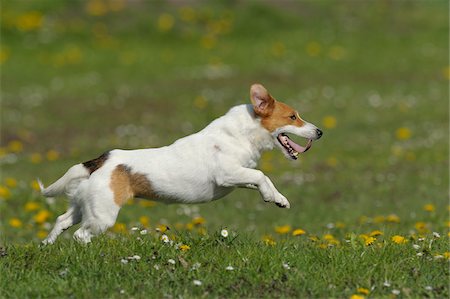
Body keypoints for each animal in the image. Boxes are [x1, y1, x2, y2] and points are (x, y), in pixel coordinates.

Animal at [37, 84, 320, 244]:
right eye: (293, 117)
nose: (319, 132)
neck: (242, 133)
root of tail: (103, 160)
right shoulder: (228, 175)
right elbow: (261, 175)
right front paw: (272, 196)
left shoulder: (240, 176)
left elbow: (261, 180)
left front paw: (277, 198)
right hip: (102, 215)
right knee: (80, 236)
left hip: (83, 205)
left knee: (62, 221)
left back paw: (47, 245)